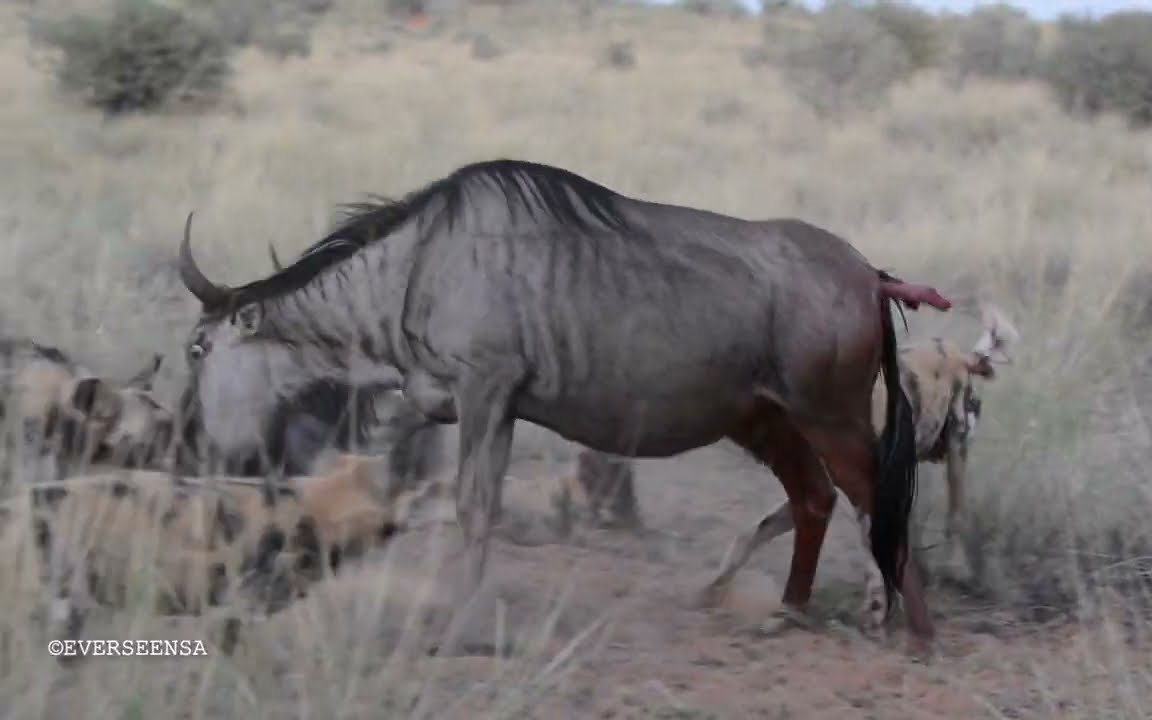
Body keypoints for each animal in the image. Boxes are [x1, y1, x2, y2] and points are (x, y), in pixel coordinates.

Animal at [175, 156, 958, 649]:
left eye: (196, 349)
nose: (191, 443)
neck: (416, 268)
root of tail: (869, 274)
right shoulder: (463, 407)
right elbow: (402, 488)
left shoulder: (486, 393)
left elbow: (474, 508)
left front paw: (459, 627)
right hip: (766, 421)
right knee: (814, 499)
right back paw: (786, 614)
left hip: (831, 417)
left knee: (879, 500)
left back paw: (918, 636)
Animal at [695, 304, 1022, 608]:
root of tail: (962, 355)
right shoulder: (822, 491)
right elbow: (753, 534)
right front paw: (714, 589)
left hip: (955, 459)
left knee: (954, 520)